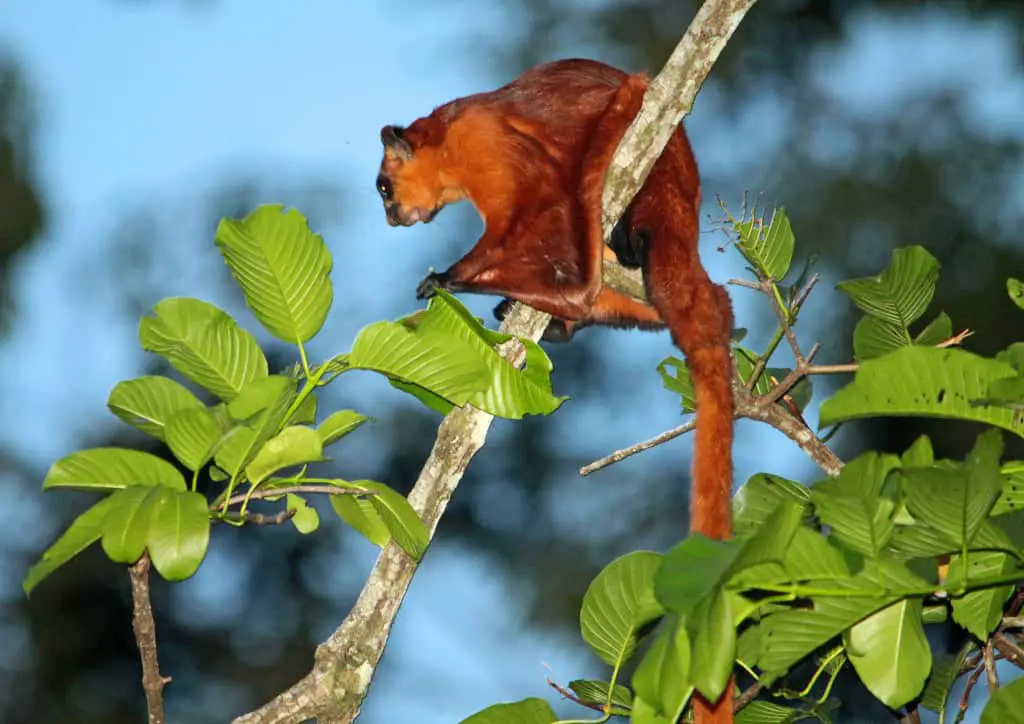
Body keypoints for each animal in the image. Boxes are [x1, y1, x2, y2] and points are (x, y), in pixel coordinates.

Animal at [376, 59, 737, 724]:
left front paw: (450, 276)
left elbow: (537, 211)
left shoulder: (486, 146)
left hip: (652, 151)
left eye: (386, 188)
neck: (450, 135)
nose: (390, 217)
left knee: (585, 244)